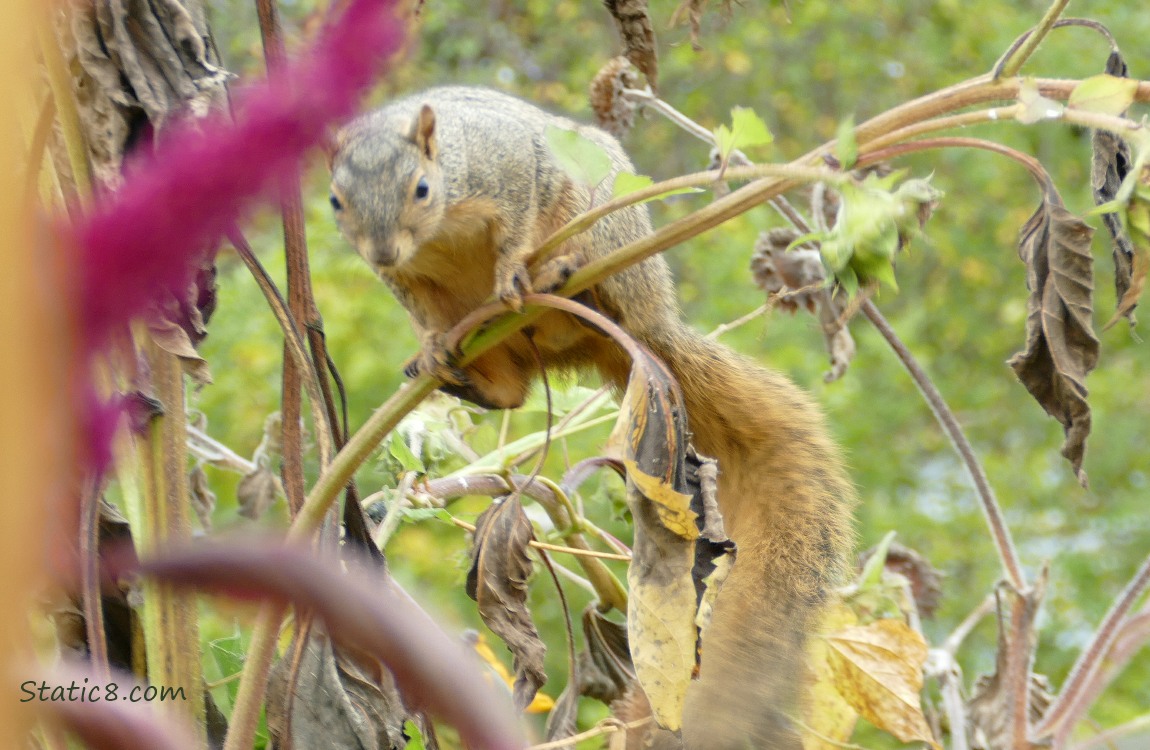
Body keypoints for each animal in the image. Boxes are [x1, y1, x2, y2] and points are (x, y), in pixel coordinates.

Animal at [331, 85, 855, 745]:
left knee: (591, 287)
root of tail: (646, 329)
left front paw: (510, 268)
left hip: (603, 229)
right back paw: (461, 373)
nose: (381, 248)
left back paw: (557, 275)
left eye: (422, 188)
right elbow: (421, 310)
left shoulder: (508, 167)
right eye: (336, 200)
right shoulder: (408, 281)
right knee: (511, 393)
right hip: (495, 338)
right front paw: (428, 345)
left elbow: (516, 222)